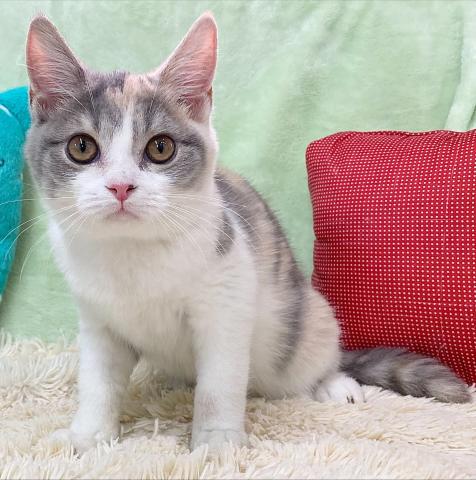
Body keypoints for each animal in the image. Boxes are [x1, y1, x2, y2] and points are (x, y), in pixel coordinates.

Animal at [24, 12, 470, 453]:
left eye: (160, 148)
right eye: (82, 147)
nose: (120, 186)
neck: (132, 254)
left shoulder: (227, 299)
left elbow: (218, 385)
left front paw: (216, 444)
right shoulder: (97, 321)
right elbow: (97, 383)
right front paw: (88, 436)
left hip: (308, 318)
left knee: (318, 359)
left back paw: (334, 383)